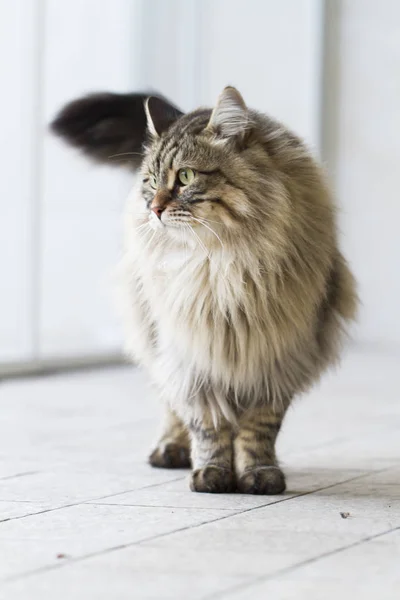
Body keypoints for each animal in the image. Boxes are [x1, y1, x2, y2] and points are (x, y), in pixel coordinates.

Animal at [51, 86, 358, 494]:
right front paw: (213, 472)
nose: (154, 208)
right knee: (170, 403)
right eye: (151, 181)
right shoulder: (194, 353)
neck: (221, 266)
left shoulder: (279, 353)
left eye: (185, 176)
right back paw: (171, 449)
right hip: (158, 339)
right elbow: (207, 424)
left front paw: (258, 472)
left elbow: (259, 427)